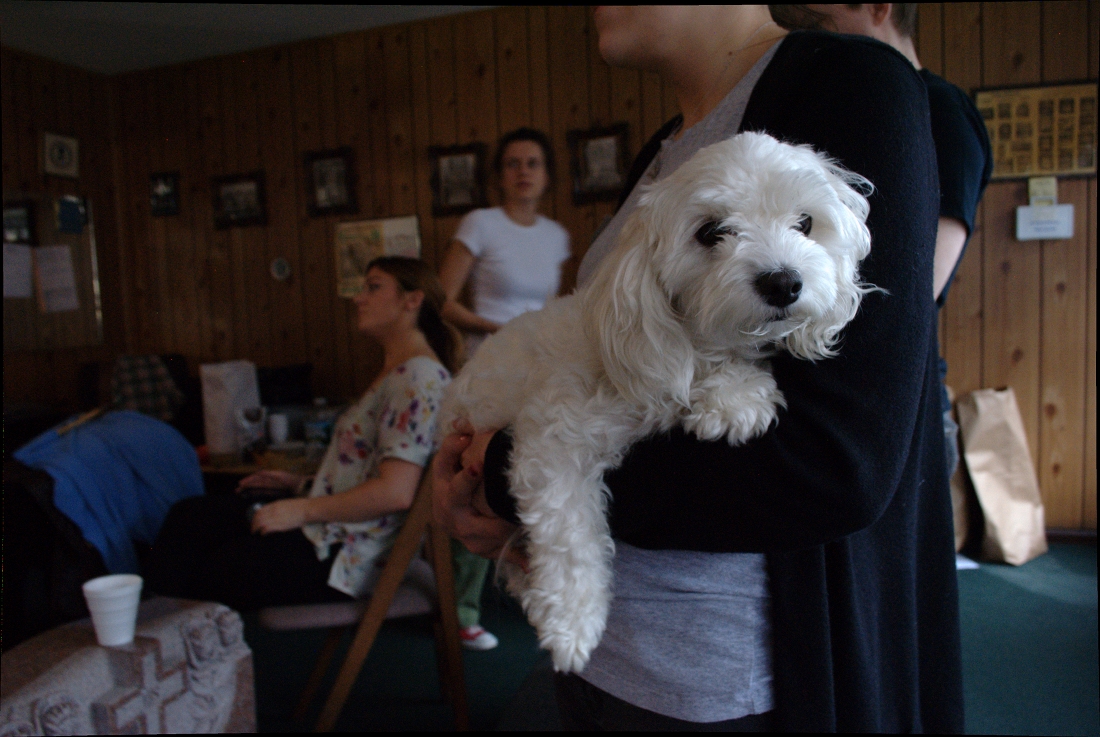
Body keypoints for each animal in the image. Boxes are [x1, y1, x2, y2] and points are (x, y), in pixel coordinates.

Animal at [437, 133, 875, 677]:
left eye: (806, 223)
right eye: (711, 232)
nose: (783, 282)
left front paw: (734, 396)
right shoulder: (552, 444)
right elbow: (568, 536)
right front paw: (572, 623)